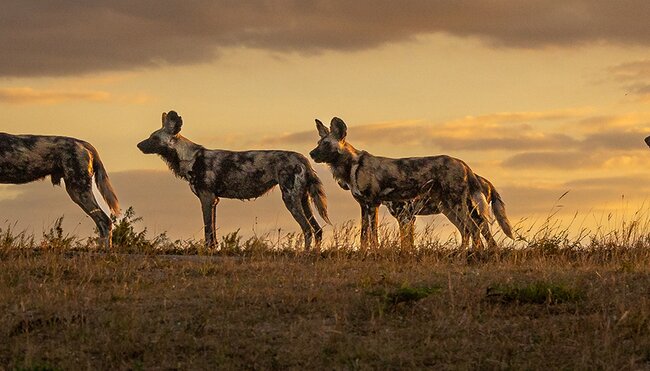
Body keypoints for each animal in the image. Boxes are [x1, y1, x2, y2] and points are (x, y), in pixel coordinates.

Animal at [137, 110, 330, 250]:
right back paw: (313, 253)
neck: (190, 157)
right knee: (317, 230)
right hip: (303, 200)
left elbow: (208, 229)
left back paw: (303, 254)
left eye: (154, 138)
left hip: (290, 199)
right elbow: (212, 231)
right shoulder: (214, 201)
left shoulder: (206, 198)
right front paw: (213, 249)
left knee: (307, 229)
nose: (138, 145)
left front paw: (208, 250)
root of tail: (302, 158)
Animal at [312, 116, 488, 250]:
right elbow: (364, 235)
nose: (311, 153)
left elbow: (373, 234)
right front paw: (364, 252)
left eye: (326, 144)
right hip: (448, 206)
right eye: (318, 143)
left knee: (474, 227)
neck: (352, 166)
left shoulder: (373, 204)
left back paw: (472, 254)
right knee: (467, 229)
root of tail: (462, 163)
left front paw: (374, 252)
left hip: (456, 203)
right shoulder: (365, 205)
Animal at [380, 174, 512, 250]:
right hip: (452, 213)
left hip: (469, 214)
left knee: (481, 236)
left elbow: (405, 242)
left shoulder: (405, 217)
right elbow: (409, 241)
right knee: (469, 233)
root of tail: (486, 182)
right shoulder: (409, 218)